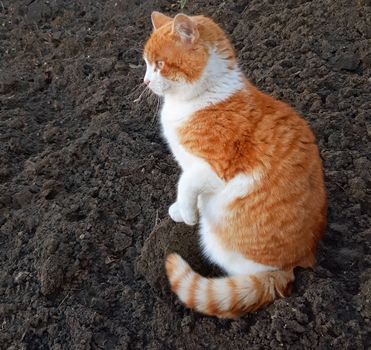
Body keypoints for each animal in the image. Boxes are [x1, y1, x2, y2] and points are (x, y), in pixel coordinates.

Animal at [144, 10, 326, 318]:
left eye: (160, 65)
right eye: (145, 63)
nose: (145, 81)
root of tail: (296, 263)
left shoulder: (215, 170)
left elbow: (186, 183)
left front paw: (187, 214)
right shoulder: (190, 165)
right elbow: (185, 188)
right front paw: (181, 210)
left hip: (217, 239)